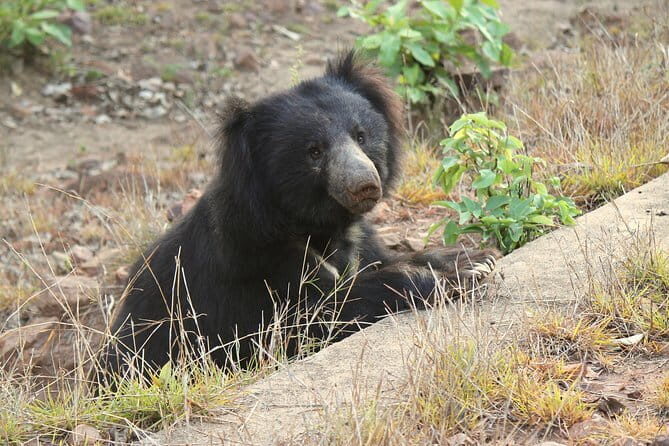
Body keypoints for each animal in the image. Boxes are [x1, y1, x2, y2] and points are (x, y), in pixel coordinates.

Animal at [100, 51, 498, 380]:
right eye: (314, 151)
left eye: (361, 135)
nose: (364, 185)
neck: (316, 223)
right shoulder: (256, 261)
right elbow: (312, 317)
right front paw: (456, 277)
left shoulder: (358, 241)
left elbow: (376, 260)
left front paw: (473, 257)